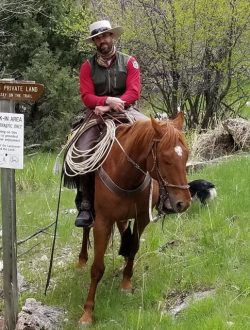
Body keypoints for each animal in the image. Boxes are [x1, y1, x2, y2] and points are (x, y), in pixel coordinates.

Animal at [77, 112, 190, 326]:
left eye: (186, 155)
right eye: (165, 159)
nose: (183, 203)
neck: (126, 174)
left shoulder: (142, 218)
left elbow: (134, 248)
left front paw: (126, 283)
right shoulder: (102, 222)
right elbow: (97, 268)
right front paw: (87, 313)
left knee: (124, 231)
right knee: (86, 228)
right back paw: (81, 260)